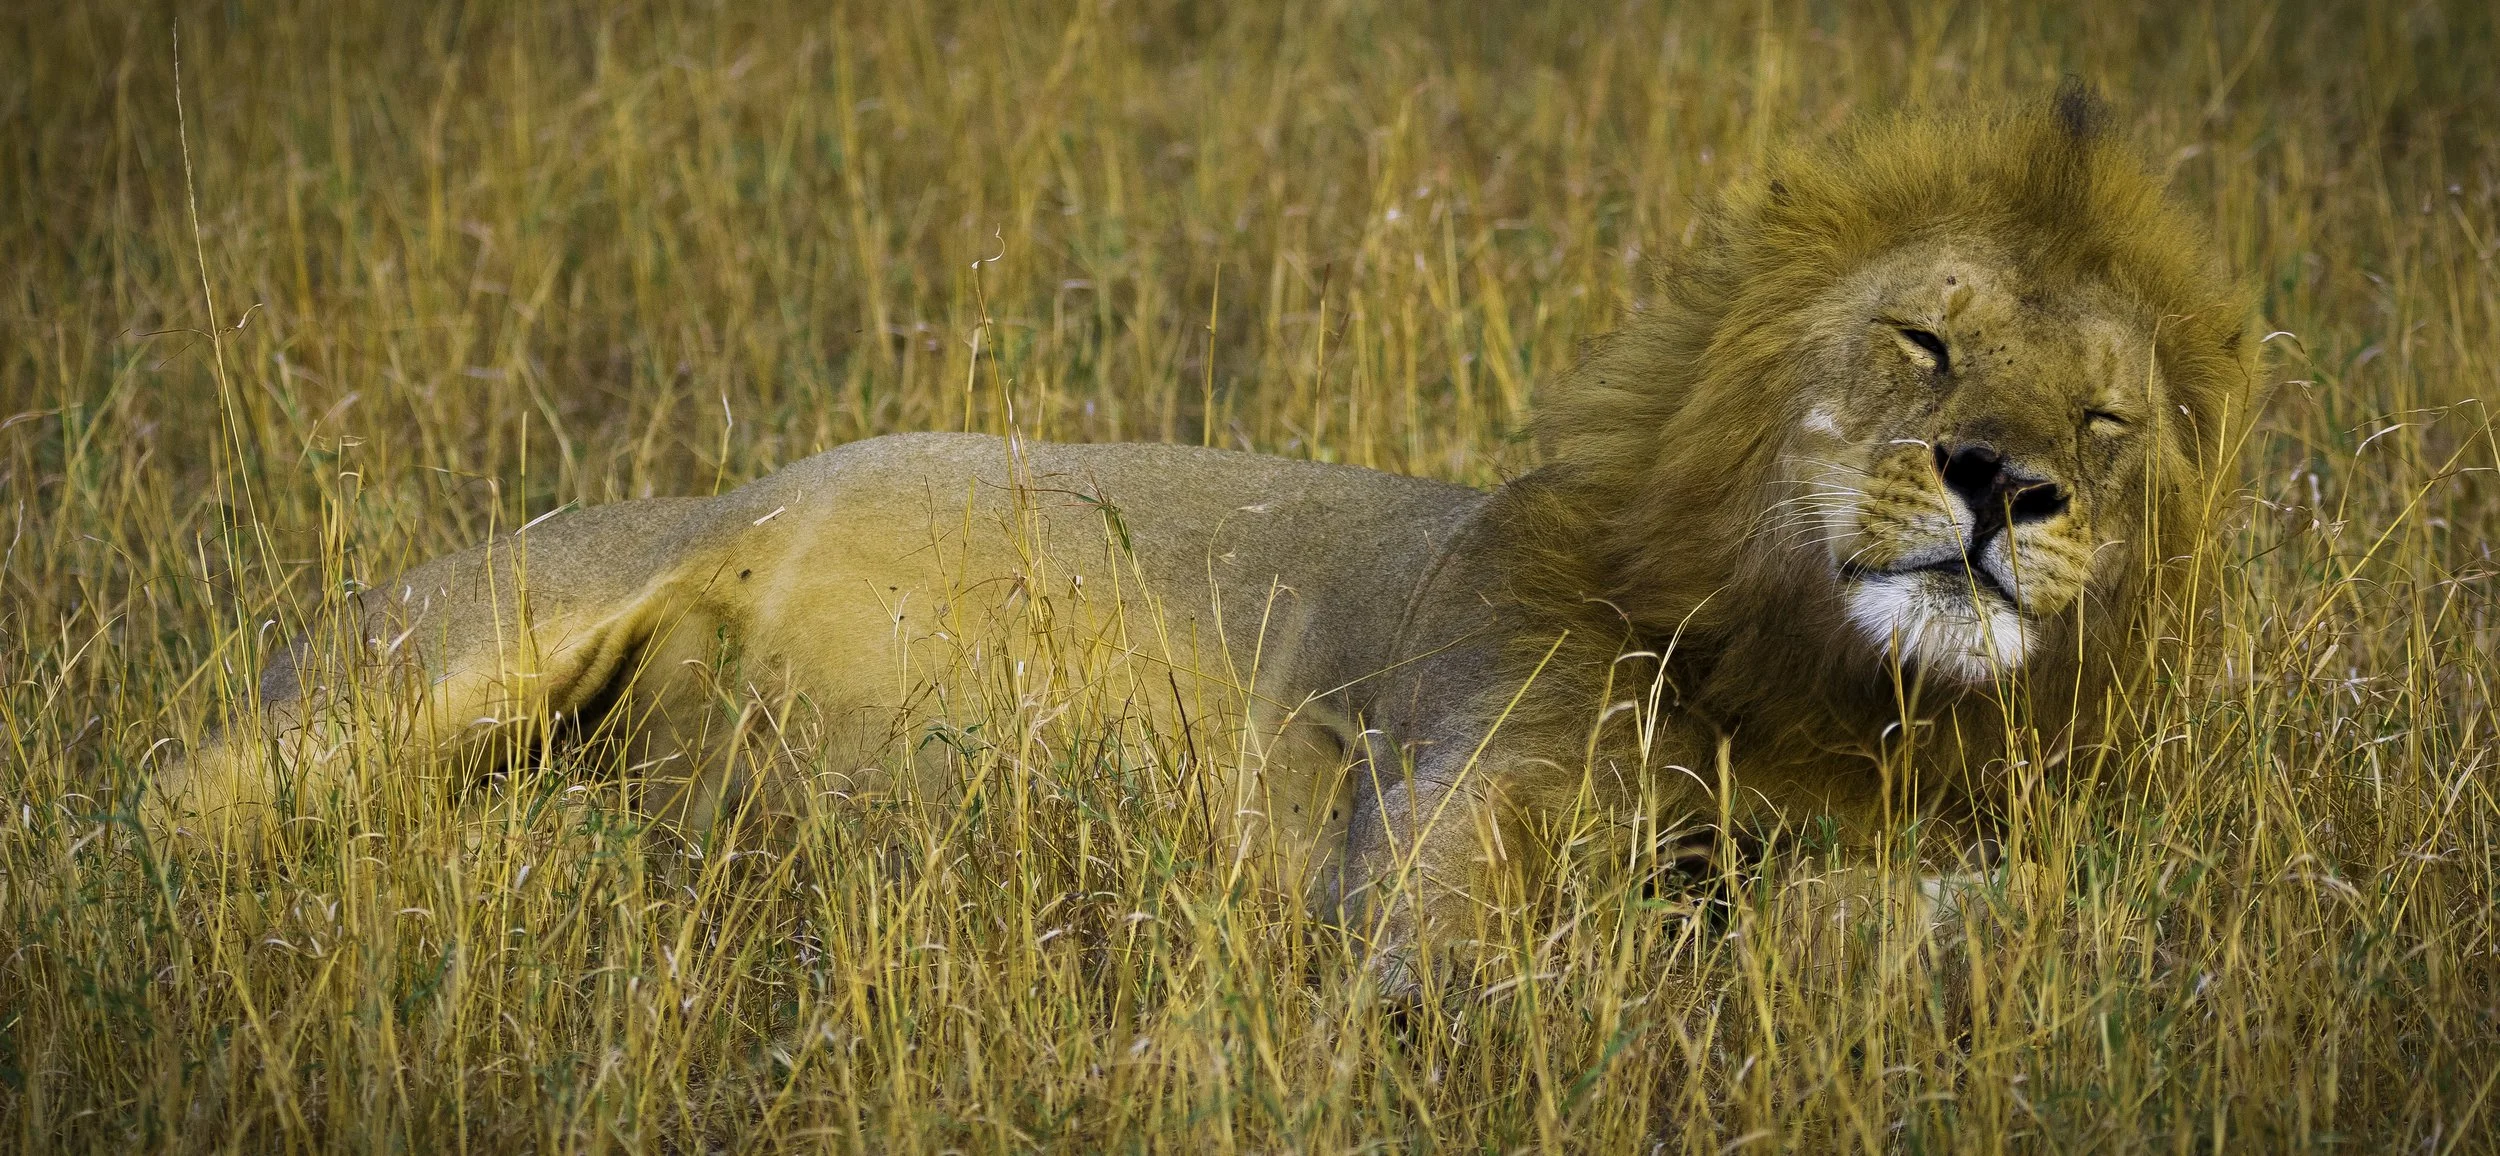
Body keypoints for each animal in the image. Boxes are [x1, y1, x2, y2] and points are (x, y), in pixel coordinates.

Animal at [153, 89, 2262, 981]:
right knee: (155, 824)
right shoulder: (1425, 827)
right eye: (1924, 342)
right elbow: (1509, 968)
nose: (2007, 487)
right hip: (431, 659)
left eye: (2103, 422)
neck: (1823, 692)